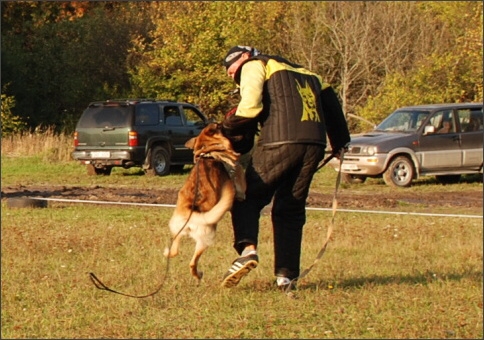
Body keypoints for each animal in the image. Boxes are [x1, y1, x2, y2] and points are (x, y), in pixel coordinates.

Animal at [164, 122, 246, 282]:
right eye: (223, 128)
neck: (207, 153)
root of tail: (192, 214)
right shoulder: (238, 172)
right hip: (205, 239)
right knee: (192, 262)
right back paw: (199, 274)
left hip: (176, 232)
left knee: (174, 251)